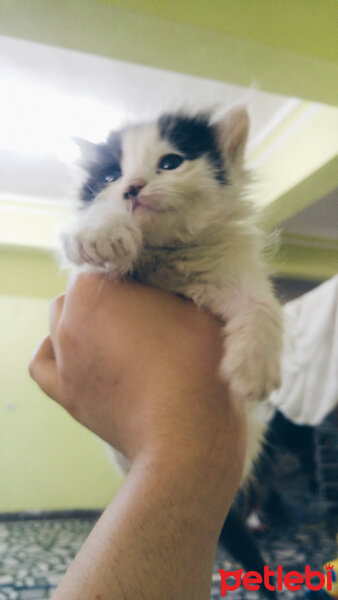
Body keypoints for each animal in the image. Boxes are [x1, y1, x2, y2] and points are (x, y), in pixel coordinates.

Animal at [60, 104, 282, 478]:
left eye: (170, 163)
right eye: (110, 177)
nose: (132, 187)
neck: (167, 252)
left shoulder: (232, 271)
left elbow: (262, 305)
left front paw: (255, 368)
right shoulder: (90, 273)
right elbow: (95, 242)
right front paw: (103, 230)